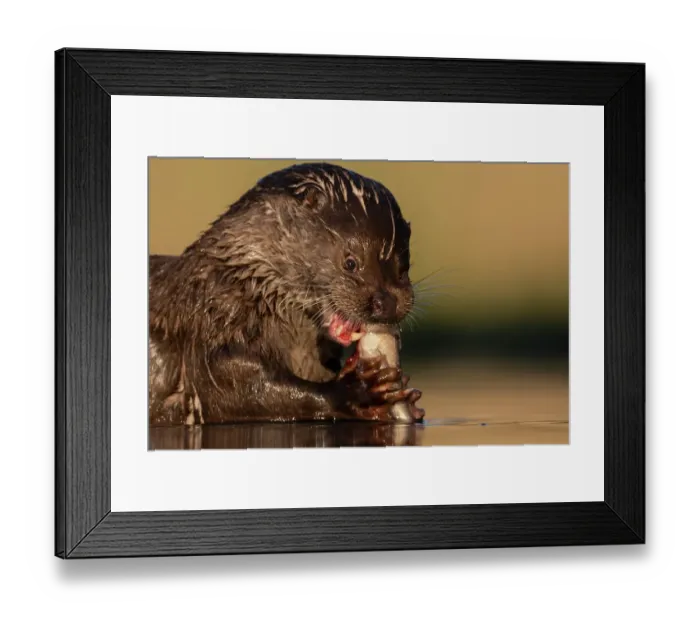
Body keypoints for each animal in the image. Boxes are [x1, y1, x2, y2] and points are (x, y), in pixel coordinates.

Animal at [149, 162, 424, 426]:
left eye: (403, 268)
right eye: (350, 262)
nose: (386, 302)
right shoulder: (211, 329)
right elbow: (234, 390)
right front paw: (359, 390)